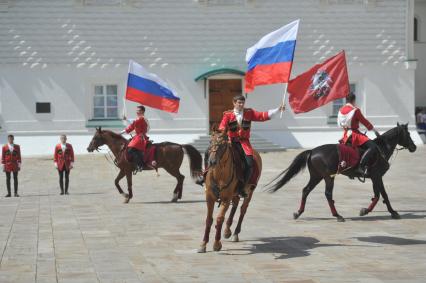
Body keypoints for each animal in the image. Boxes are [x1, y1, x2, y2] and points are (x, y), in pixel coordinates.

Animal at [266, 123, 416, 222]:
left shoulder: (377, 178)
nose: (414, 147)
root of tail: (312, 151)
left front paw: (390, 211)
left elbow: (382, 195)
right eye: (408, 134)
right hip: (328, 177)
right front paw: (367, 211)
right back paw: (337, 215)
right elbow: (380, 195)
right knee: (327, 194)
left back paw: (298, 213)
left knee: (306, 190)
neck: (380, 148)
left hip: (317, 176)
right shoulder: (376, 177)